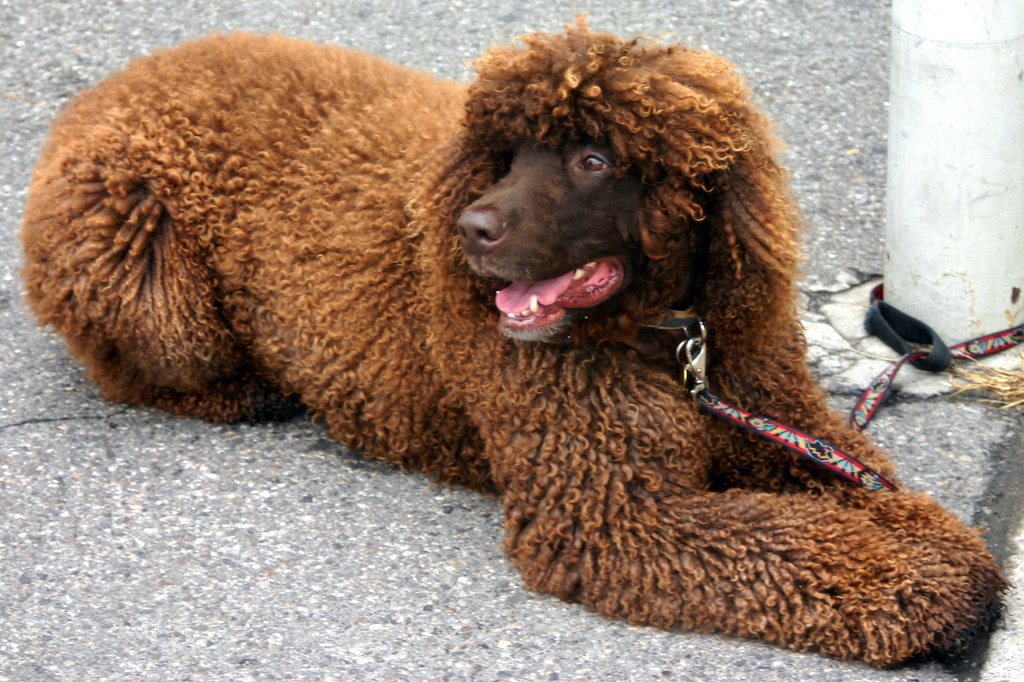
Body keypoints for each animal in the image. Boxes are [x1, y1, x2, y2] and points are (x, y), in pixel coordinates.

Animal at [19, 19, 1003, 663]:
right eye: (508, 154)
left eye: (594, 160)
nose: (470, 228)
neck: (665, 340)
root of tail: (106, 88)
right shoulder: (616, 515)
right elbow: (797, 543)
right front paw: (931, 591)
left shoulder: (773, 418)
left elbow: (873, 495)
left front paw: (946, 552)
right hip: (139, 265)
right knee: (127, 362)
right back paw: (243, 389)